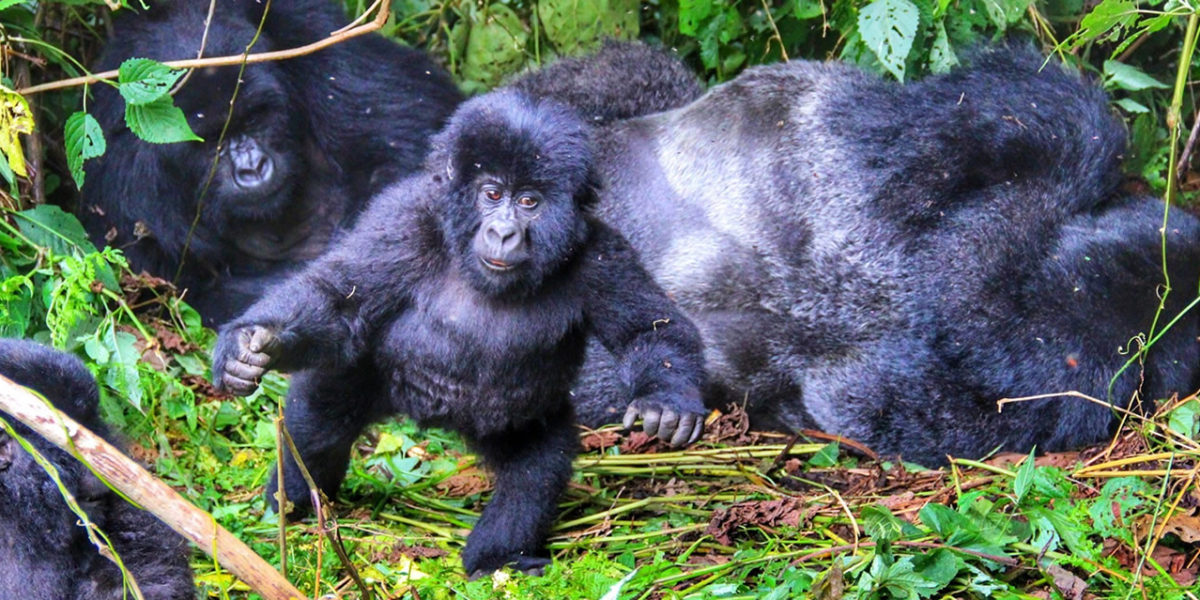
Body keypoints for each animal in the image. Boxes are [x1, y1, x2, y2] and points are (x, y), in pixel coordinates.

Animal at [211, 90, 705, 576]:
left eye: (529, 202)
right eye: (492, 193)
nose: (504, 233)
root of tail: (430, 418)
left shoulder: (600, 254)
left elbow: (648, 330)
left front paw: (666, 401)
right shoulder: (401, 223)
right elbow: (340, 299)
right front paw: (248, 344)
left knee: (535, 471)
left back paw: (497, 557)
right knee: (320, 418)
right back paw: (294, 504)